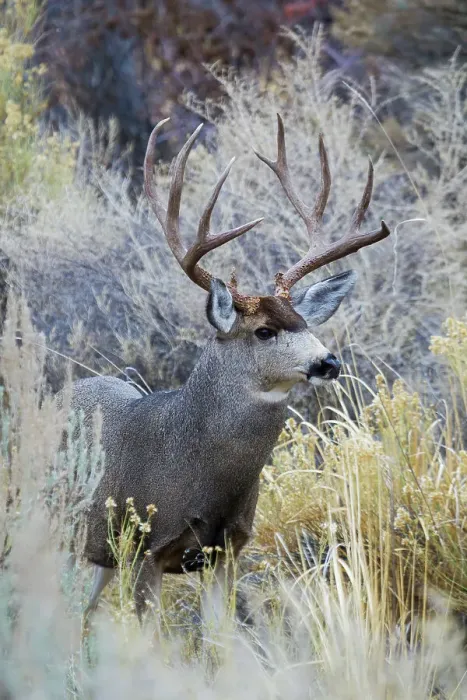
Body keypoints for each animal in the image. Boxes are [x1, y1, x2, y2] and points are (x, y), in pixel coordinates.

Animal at [69, 114, 390, 624]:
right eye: (263, 331)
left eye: (303, 322)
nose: (328, 362)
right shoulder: (144, 546)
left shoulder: (228, 548)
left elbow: (221, 637)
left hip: (97, 555)